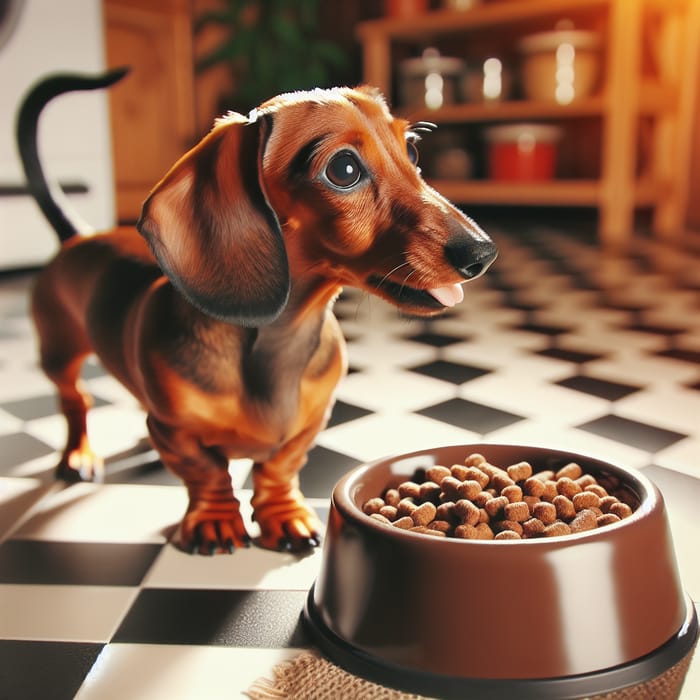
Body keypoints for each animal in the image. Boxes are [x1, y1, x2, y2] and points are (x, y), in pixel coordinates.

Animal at [17, 69, 498, 552]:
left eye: (412, 150)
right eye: (343, 169)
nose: (482, 253)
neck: (280, 339)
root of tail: (80, 236)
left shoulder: (309, 424)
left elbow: (278, 467)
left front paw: (283, 515)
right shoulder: (176, 431)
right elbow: (207, 471)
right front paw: (215, 520)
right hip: (59, 351)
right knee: (75, 400)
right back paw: (78, 454)